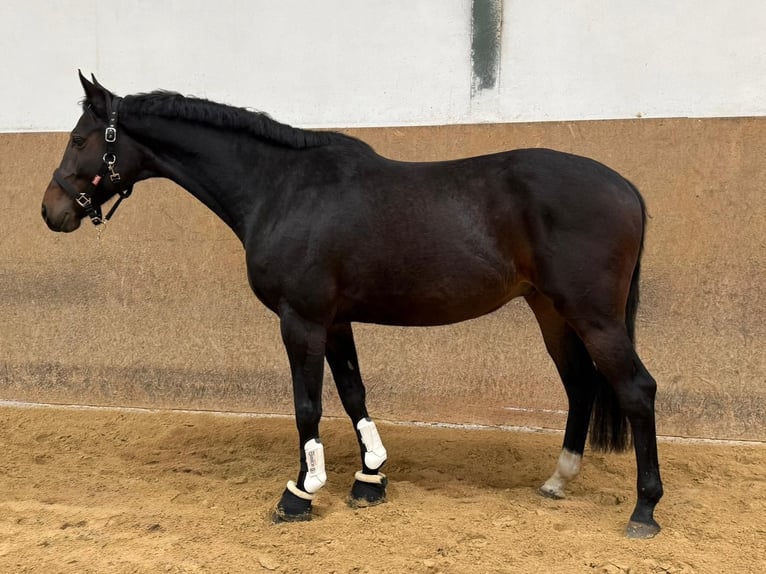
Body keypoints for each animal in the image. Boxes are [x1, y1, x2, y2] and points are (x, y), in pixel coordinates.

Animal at [41, 72, 663, 537]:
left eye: (80, 140)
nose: (51, 211)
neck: (282, 188)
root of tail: (627, 188)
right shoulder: (336, 320)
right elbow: (353, 393)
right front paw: (369, 480)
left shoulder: (302, 320)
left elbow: (307, 405)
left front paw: (299, 493)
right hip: (551, 311)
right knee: (580, 385)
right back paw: (559, 481)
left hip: (592, 315)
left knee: (636, 390)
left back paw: (644, 510)